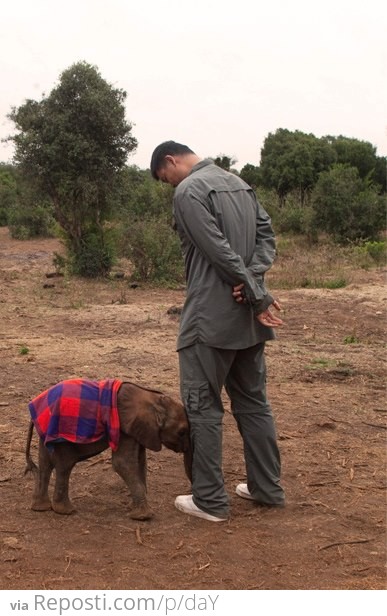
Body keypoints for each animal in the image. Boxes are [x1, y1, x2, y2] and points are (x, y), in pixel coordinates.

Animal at [25, 380, 192, 520]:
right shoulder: (124, 427)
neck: (154, 400)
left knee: (46, 464)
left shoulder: (139, 429)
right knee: (64, 465)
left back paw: (42, 508)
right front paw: (143, 517)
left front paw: (132, 508)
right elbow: (122, 463)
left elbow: (140, 461)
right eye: (182, 432)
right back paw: (66, 511)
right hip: (63, 433)